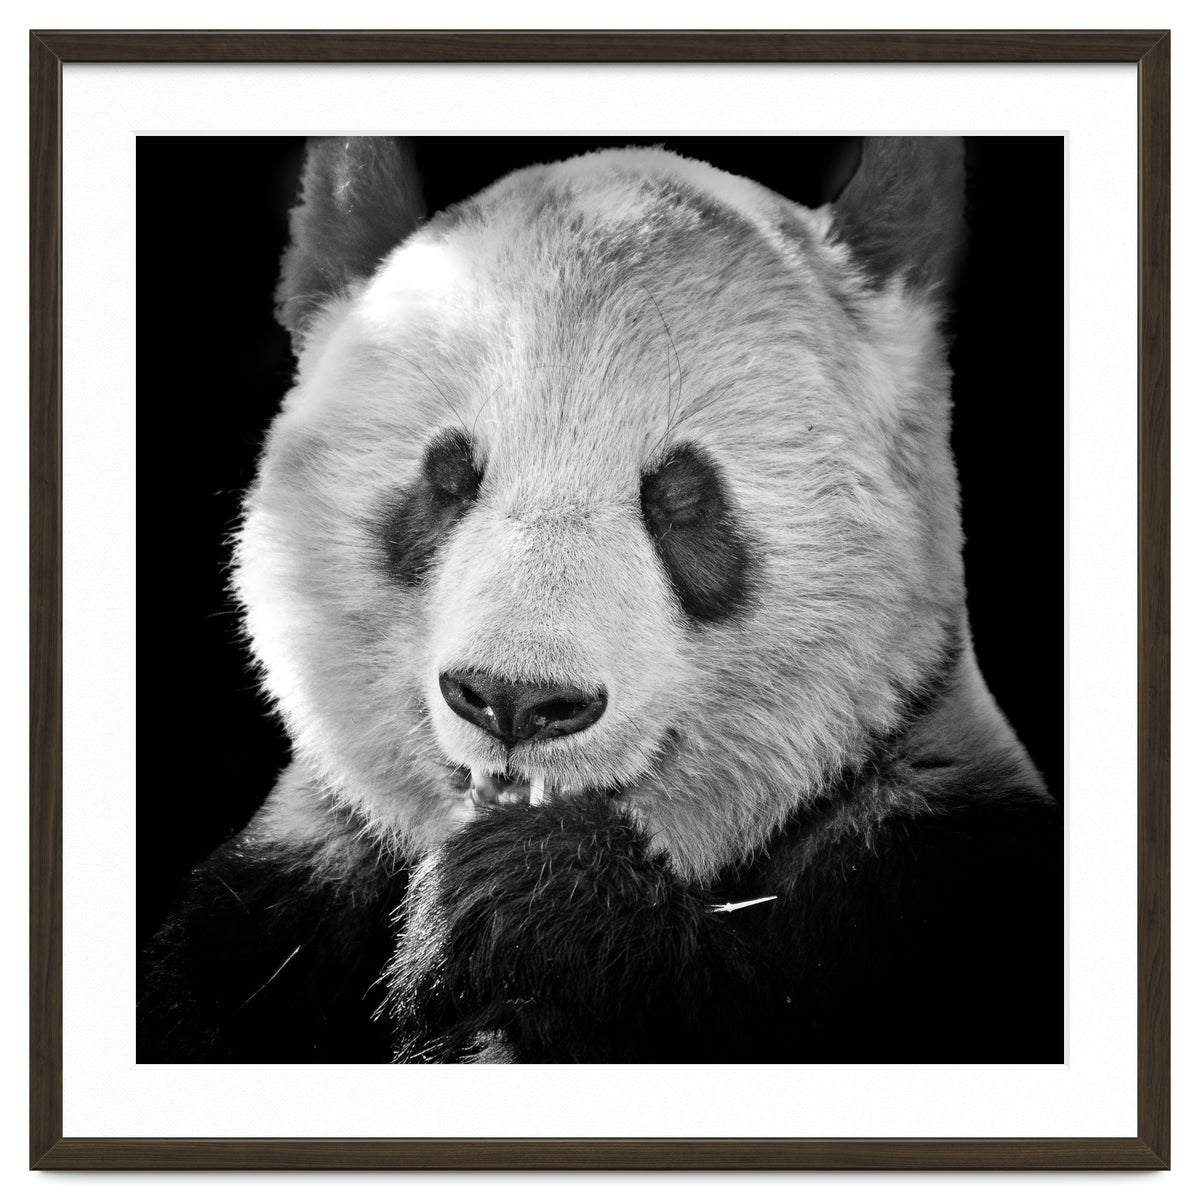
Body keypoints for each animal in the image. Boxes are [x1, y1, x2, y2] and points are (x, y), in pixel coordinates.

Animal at [138, 136, 1063, 1066]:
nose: (515, 700)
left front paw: (533, 901)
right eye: (447, 479)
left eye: (682, 499)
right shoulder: (273, 909)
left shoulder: (928, 872)